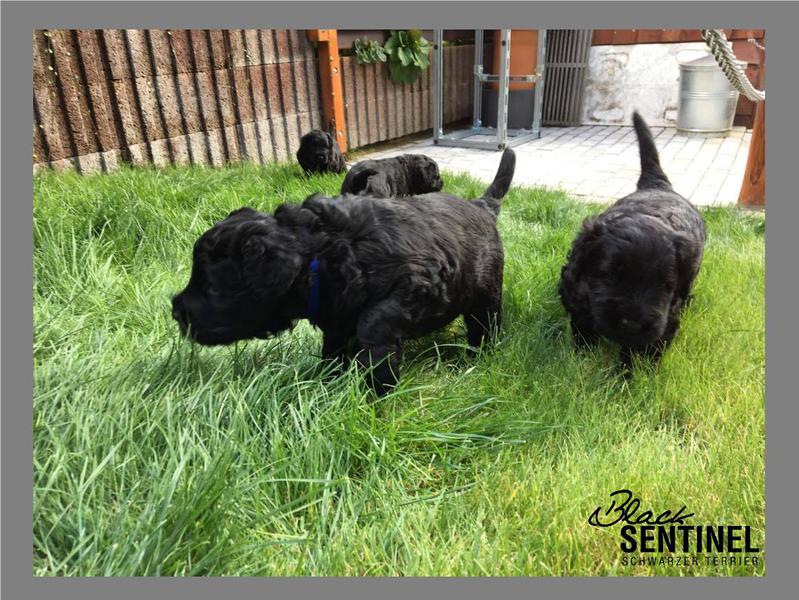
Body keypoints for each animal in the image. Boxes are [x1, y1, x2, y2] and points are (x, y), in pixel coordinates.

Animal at [172, 149, 516, 395]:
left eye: (212, 288)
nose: (176, 311)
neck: (320, 259)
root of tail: (481, 206)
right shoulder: (335, 316)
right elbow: (333, 346)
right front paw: (328, 380)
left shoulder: (415, 284)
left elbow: (374, 325)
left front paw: (375, 389)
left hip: (486, 290)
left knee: (485, 322)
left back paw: (478, 355)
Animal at [558, 112, 706, 370]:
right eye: (608, 276)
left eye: (665, 285)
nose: (633, 324)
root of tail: (659, 184)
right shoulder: (576, 291)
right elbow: (583, 327)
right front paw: (581, 360)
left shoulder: (664, 318)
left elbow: (644, 348)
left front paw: (632, 374)